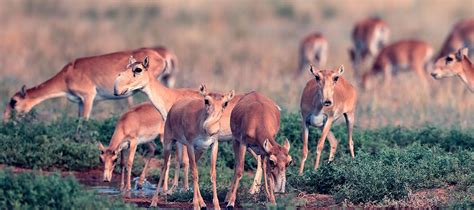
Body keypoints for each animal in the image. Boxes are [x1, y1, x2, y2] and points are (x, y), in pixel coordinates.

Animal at [1, 47, 168, 123]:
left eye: (14, 101)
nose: (5, 119)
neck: (67, 74)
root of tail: (160, 56)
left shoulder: (88, 97)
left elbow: (85, 121)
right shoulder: (80, 102)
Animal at [113, 56, 264, 195]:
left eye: (138, 69)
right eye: (127, 66)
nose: (117, 89)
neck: (171, 98)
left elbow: (184, 161)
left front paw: (182, 189)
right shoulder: (179, 138)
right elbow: (178, 160)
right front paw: (172, 189)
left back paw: (252, 190)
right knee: (260, 159)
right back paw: (255, 190)